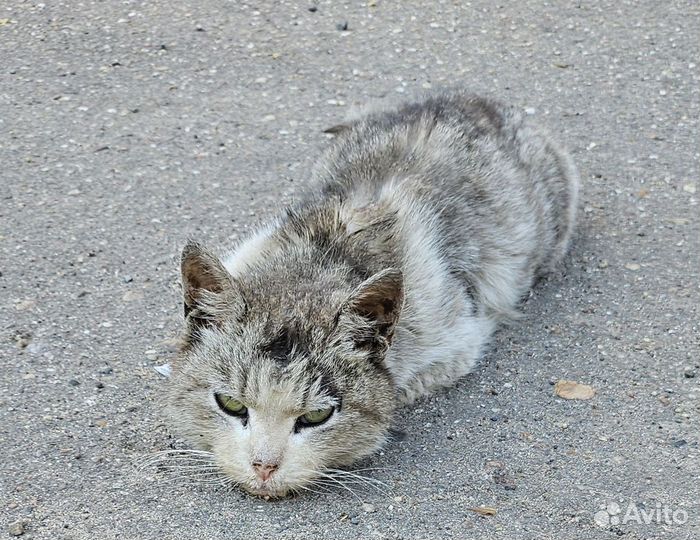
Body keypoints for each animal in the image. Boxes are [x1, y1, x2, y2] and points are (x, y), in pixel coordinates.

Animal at [164, 89, 580, 498]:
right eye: (231, 404)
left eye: (316, 416)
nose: (264, 467)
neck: (321, 258)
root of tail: (475, 98)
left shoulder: (459, 344)